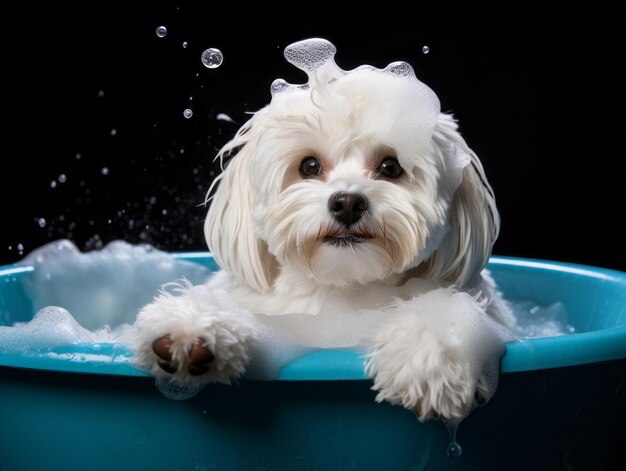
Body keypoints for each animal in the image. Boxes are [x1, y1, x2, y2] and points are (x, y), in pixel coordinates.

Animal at [132, 39, 512, 424]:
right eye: (310, 166)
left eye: (391, 167)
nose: (347, 202)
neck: (341, 289)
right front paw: (193, 328)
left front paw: (432, 360)